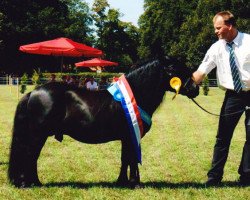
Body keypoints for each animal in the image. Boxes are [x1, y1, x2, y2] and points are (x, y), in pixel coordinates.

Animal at [8, 55, 199, 188]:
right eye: (174, 68)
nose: (195, 88)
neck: (134, 96)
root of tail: (33, 92)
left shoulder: (127, 137)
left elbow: (125, 159)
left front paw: (122, 182)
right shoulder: (131, 136)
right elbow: (132, 159)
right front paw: (134, 183)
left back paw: (34, 182)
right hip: (37, 135)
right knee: (30, 155)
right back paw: (28, 183)